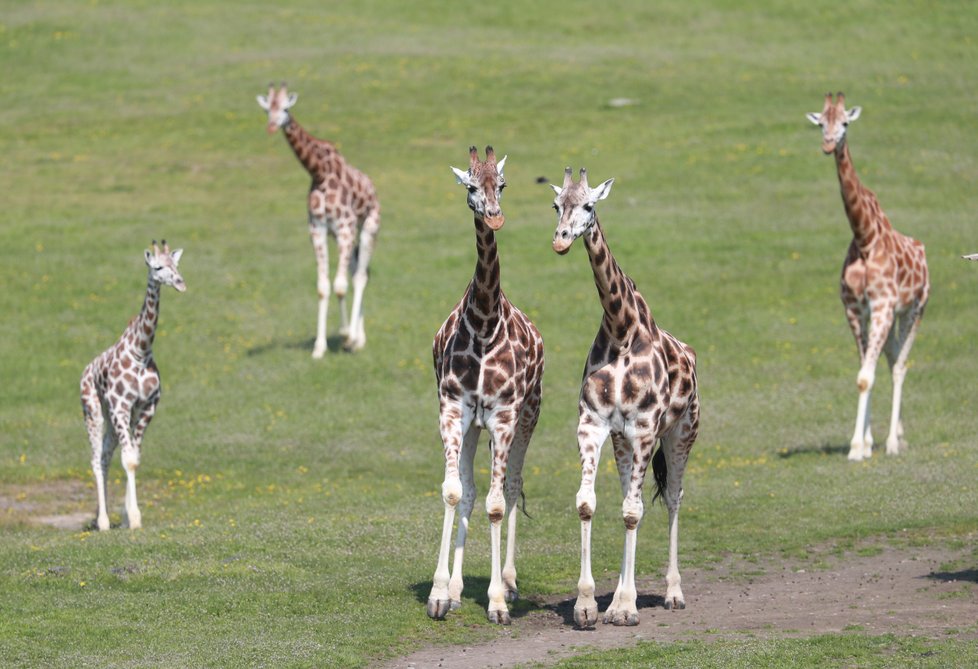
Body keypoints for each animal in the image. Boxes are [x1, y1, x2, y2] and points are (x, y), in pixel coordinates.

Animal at [79, 241, 185, 532]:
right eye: (157, 267)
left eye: (176, 265)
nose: (180, 283)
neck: (141, 350)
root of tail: (85, 372)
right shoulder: (120, 405)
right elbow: (128, 459)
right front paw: (135, 518)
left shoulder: (146, 407)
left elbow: (134, 457)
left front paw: (129, 516)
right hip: (94, 412)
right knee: (96, 459)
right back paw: (102, 522)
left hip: (113, 418)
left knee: (105, 457)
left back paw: (104, 517)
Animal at [255, 84, 378, 358]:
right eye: (268, 108)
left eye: (285, 108)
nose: (272, 125)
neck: (319, 171)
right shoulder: (318, 229)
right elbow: (323, 287)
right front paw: (320, 347)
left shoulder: (345, 227)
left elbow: (340, 286)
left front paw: (345, 335)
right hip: (344, 236)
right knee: (357, 271)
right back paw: (361, 338)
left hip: (367, 227)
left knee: (360, 277)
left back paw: (355, 339)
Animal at [548, 167, 700, 628]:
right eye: (557, 204)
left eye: (589, 205)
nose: (561, 240)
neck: (621, 329)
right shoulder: (594, 425)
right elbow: (588, 503)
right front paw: (588, 605)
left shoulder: (646, 428)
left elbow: (634, 511)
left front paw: (628, 606)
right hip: (622, 443)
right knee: (628, 498)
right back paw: (618, 595)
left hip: (682, 434)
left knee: (672, 499)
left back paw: (672, 593)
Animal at [808, 92, 932, 460]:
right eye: (821, 122)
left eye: (845, 122)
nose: (828, 144)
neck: (865, 238)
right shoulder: (855, 310)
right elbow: (864, 372)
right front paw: (861, 444)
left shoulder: (882, 307)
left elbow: (868, 374)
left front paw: (862, 445)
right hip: (892, 317)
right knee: (890, 360)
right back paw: (897, 435)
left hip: (914, 310)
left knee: (900, 364)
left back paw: (893, 442)